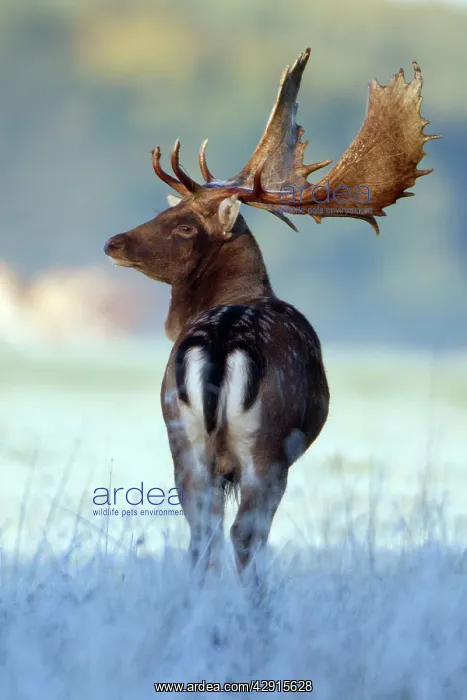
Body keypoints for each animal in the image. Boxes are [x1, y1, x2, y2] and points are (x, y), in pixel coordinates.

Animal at [104, 48, 438, 578]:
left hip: (184, 437)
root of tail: (220, 347)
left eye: (182, 225)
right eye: (166, 215)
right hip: (268, 446)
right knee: (245, 533)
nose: (114, 243)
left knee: (202, 533)